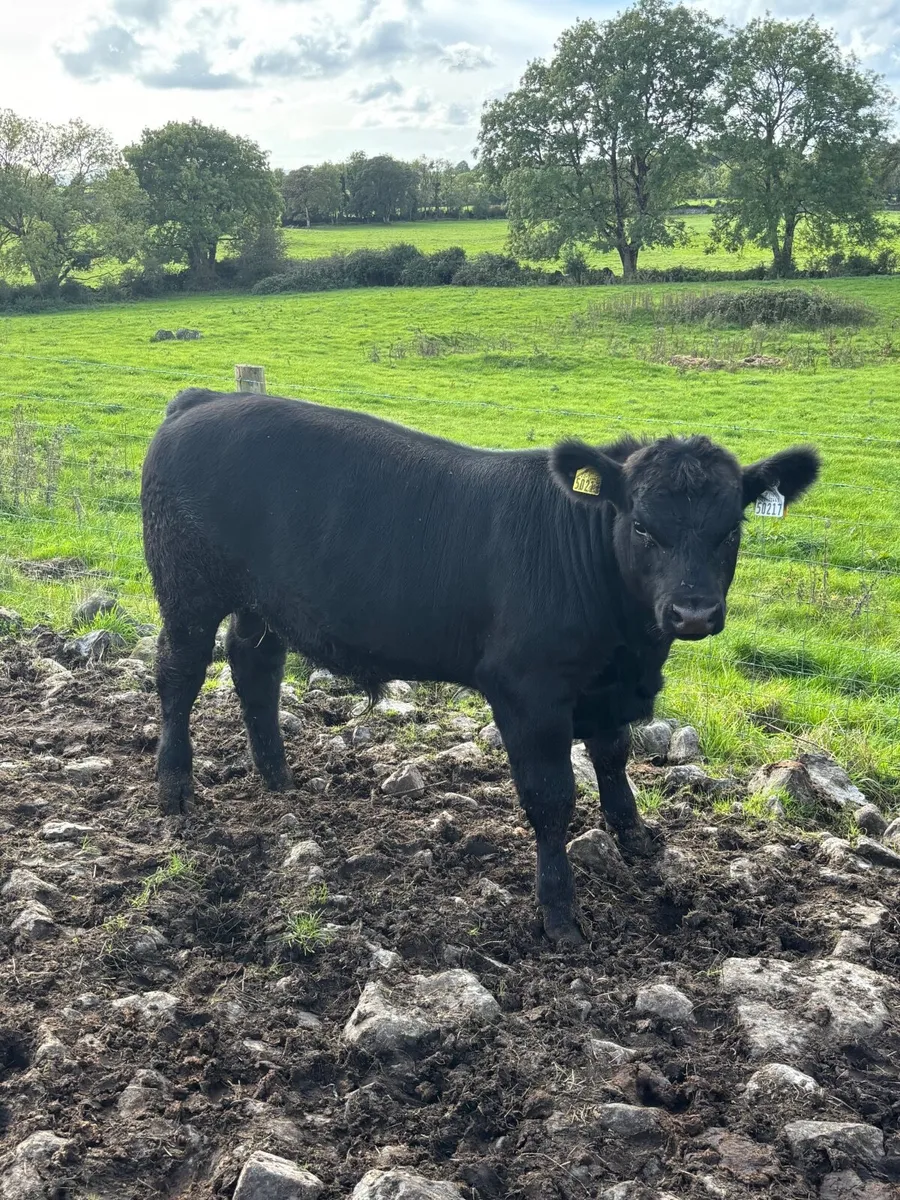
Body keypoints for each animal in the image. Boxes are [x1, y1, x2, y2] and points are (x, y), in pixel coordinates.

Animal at [141, 388, 819, 944]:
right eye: (644, 527)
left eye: (730, 529)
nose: (693, 612)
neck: (630, 647)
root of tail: (206, 401)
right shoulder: (528, 693)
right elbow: (551, 798)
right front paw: (560, 914)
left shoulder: (606, 689)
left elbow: (612, 758)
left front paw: (635, 838)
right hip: (187, 590)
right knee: (179, 674)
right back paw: (174, 788)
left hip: (261, 602)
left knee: (254, 666)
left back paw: (277, 777)